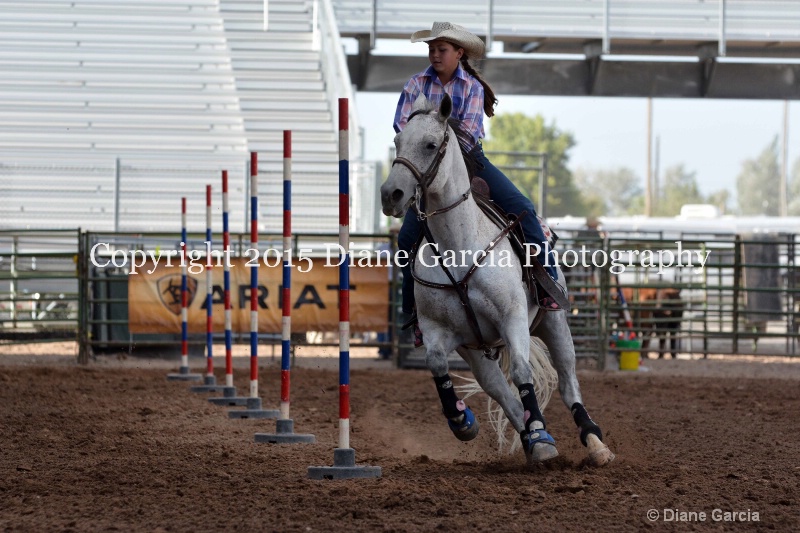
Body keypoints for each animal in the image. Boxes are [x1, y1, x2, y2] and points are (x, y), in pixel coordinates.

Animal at [380, 94, 612, 466]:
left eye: (430, 144)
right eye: (398, 141)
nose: (391, 194)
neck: (459, 248)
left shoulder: (512, 317)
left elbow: (521, 371)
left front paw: (542, 436)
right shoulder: (436, 331)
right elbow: (437, 365)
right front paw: (462, 420)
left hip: (554, 323)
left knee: (567, 382)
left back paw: (592, 443)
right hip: (477, 352)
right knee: (502, 393)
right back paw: (531, 436)